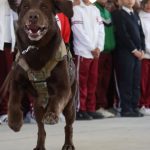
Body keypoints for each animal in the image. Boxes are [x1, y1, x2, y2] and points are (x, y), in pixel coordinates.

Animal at [2, 0, 77, 150]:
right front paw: (14, 121)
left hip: (70, 104)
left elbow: (57, 100)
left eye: (44, 7)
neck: (36, 48)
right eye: (25, 7)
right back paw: (39, 146)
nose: (33, 17)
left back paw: (68, 144)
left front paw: (52, 115)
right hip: (37, 108)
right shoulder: (16, 81)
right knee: (41, 129)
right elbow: (13, 100)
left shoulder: (63, 88)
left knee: (68, 126)